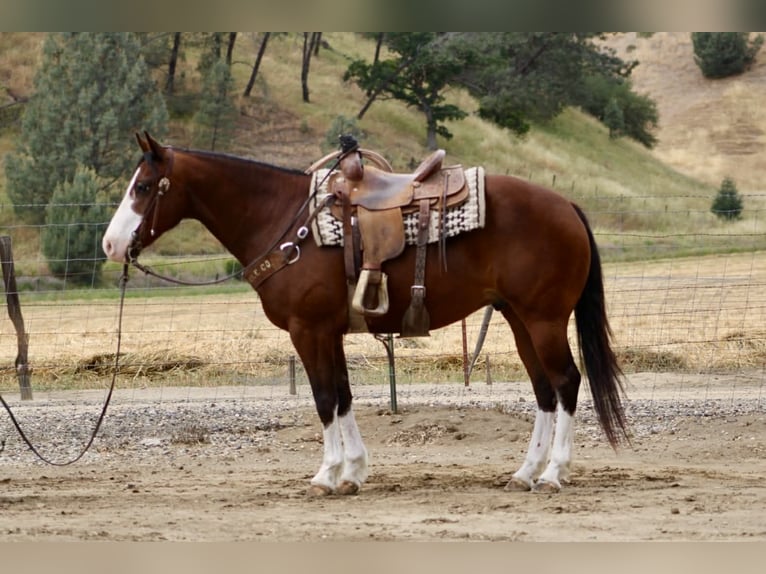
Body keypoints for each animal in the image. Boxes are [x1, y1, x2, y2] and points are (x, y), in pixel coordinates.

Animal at [103, 133, 627, 496]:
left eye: (143, 186)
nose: (110, 245)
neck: (286, 222)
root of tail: (567, 206)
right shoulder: (329, 332)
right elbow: (343, 395)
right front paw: (353, 472)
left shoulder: (308, 330)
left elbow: (323, 399)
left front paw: (326, 474)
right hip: (518, 318)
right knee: (544, 391)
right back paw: (525, 472)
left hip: (544, 319)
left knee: (566, 383)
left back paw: (554, 474)